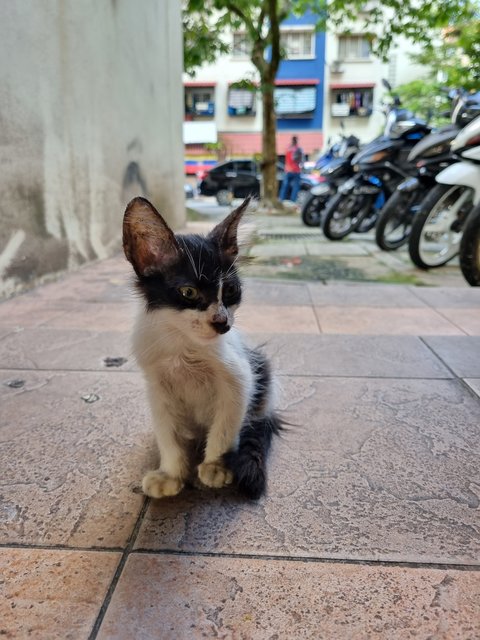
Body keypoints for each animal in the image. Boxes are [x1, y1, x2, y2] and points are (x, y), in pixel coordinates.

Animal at [123, 196, 282, 500]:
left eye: (230, 290)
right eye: (189, 292)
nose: (222, 323)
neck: (183, 344)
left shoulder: (240, 377)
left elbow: (225, 426)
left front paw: (215, 466)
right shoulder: (157, 387)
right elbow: (167, 433)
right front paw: (171, 473)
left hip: (261, 372)